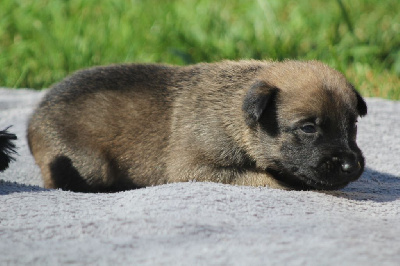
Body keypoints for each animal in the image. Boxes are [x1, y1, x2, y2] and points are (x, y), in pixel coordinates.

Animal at [26, 60, 368, 191]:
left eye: (352, 125)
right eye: (308, 128)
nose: (351, 165)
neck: (233, 111)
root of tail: (33, 119)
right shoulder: (195, 168)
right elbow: (262, 178)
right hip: (89, 164)